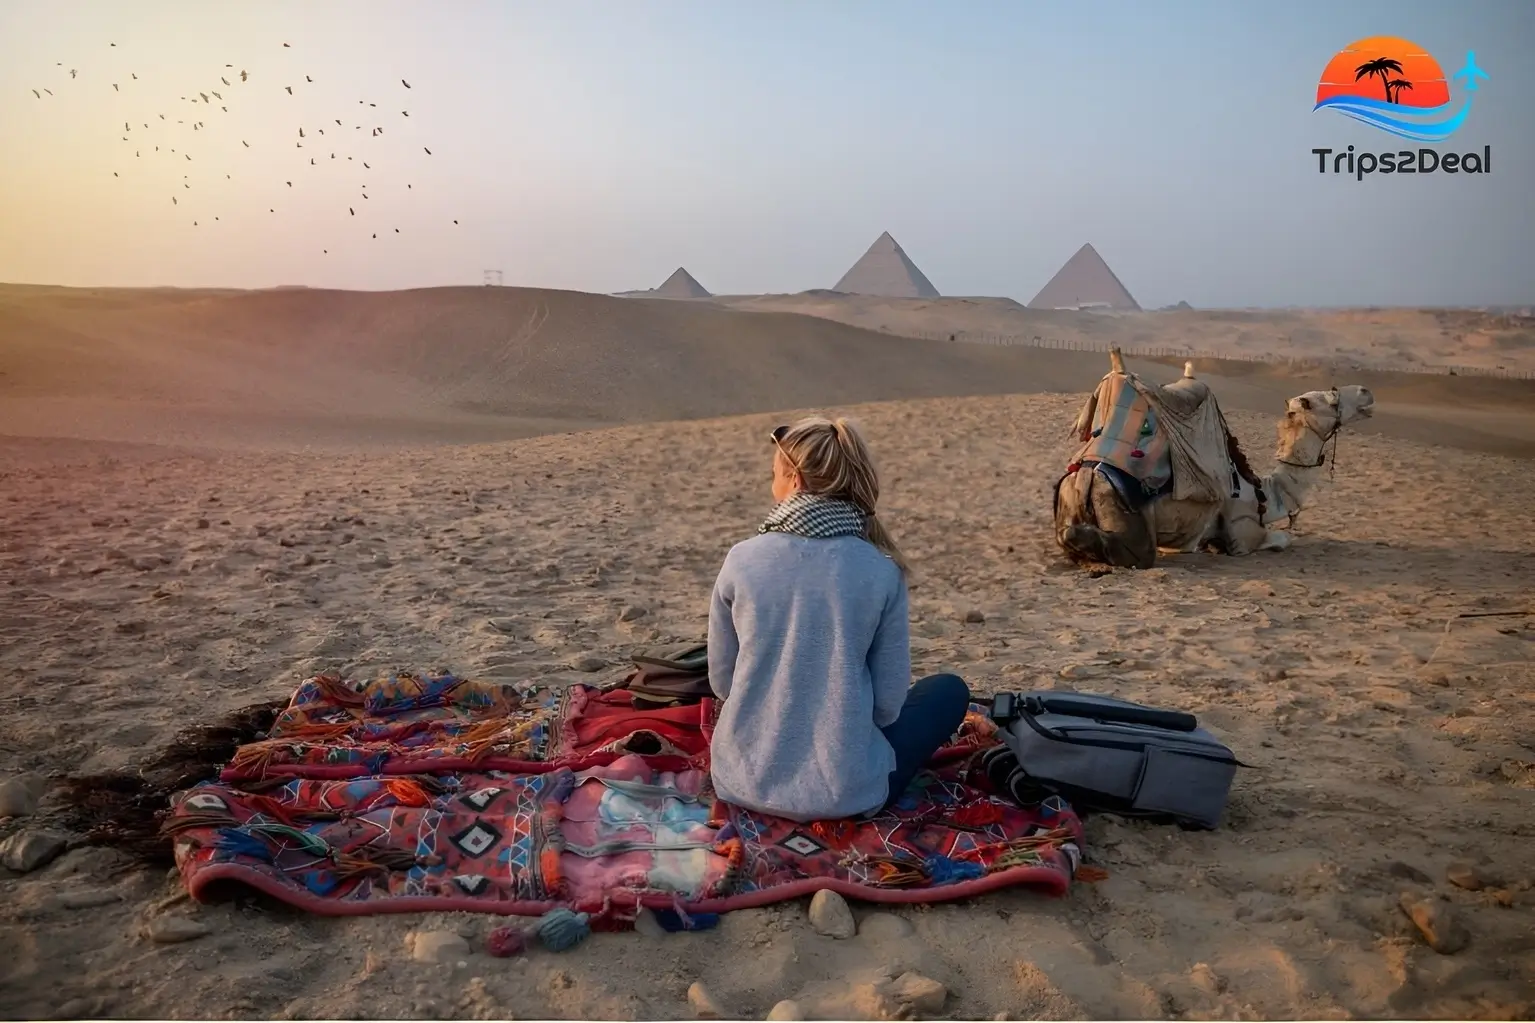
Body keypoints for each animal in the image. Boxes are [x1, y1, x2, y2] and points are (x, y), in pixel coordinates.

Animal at [1056, 348, 1381, 568]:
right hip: (1120, 507)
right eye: (1332, 400)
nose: (1366, 391)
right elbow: (1281, 539)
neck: (1265, 494)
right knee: (1135, 551)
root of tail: (1085, 473)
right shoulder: (1243, 532)